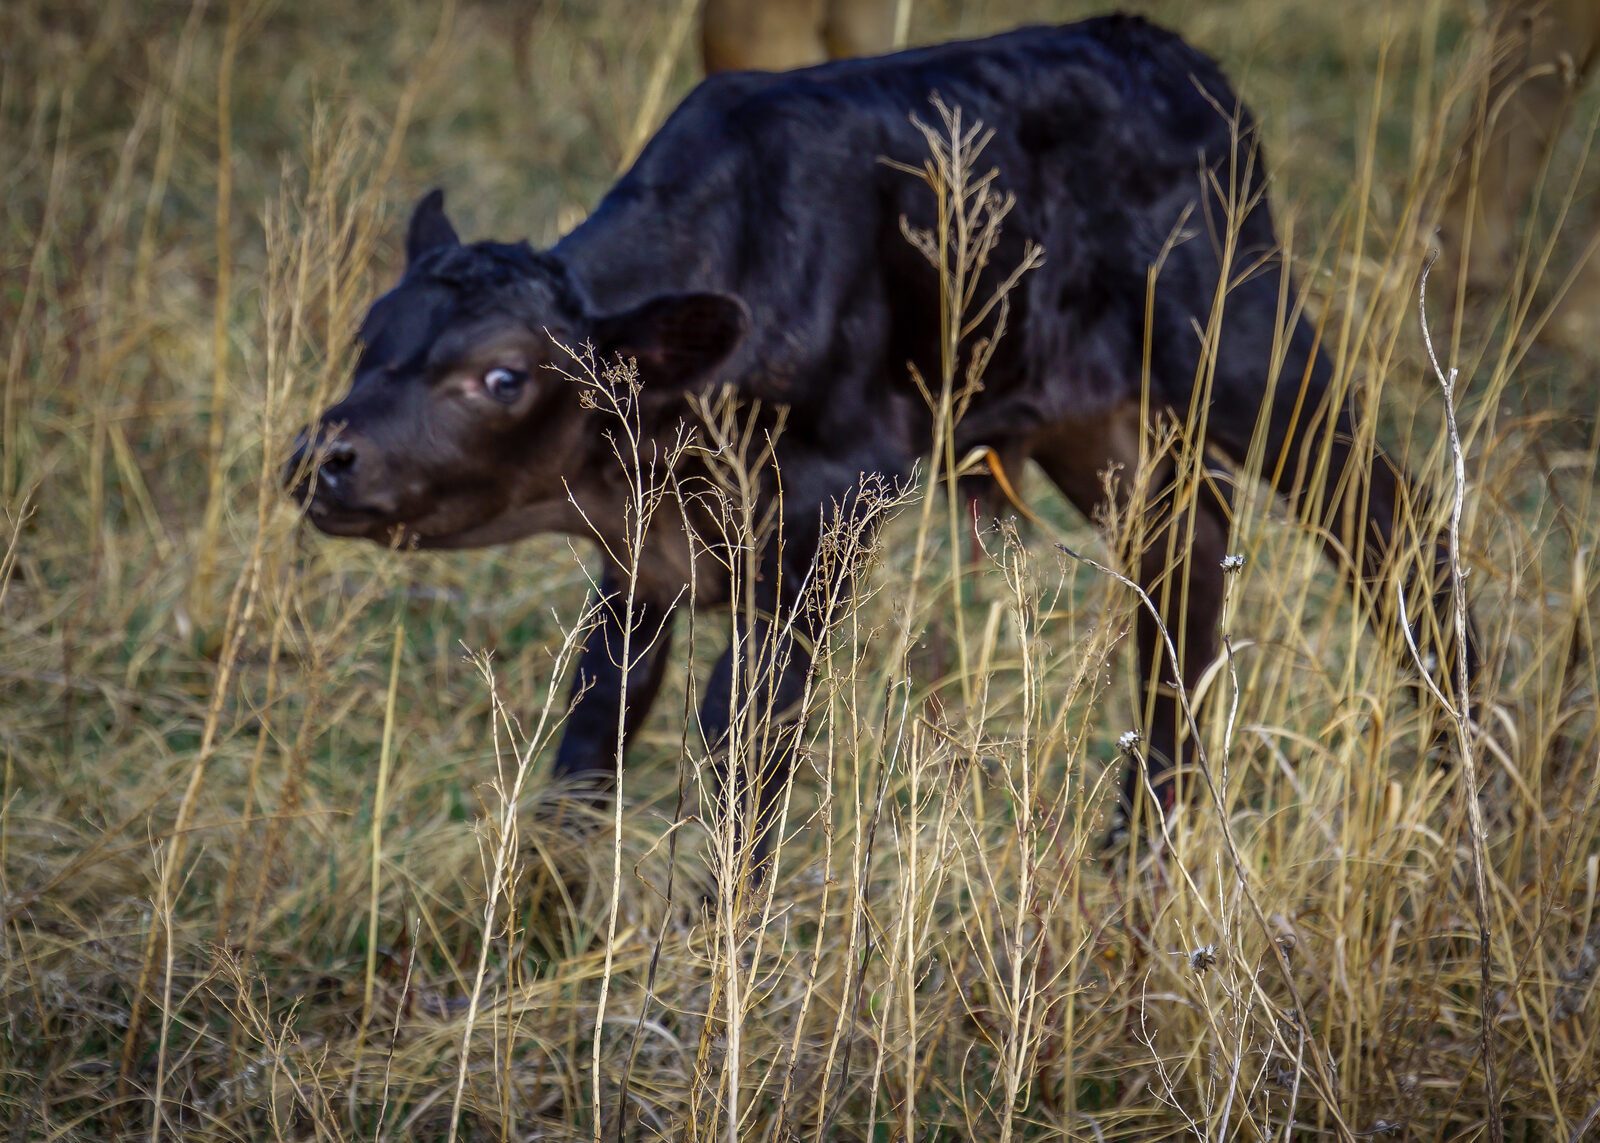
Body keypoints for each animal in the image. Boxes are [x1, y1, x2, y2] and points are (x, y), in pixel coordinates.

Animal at [286, 15, 1470, 872]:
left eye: (501, 376)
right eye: (367, 338)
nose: (321, 458)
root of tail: (1168, 53)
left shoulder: (833, 500)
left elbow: (743, 726)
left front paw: (726, 928)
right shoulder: (645, 548)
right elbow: (598, 712)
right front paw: (552, 894)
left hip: (1238, 340)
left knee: (1387, 519)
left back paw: (1462, 782)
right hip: (1086, 415)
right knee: (1185, 545)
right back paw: (1143, 842)